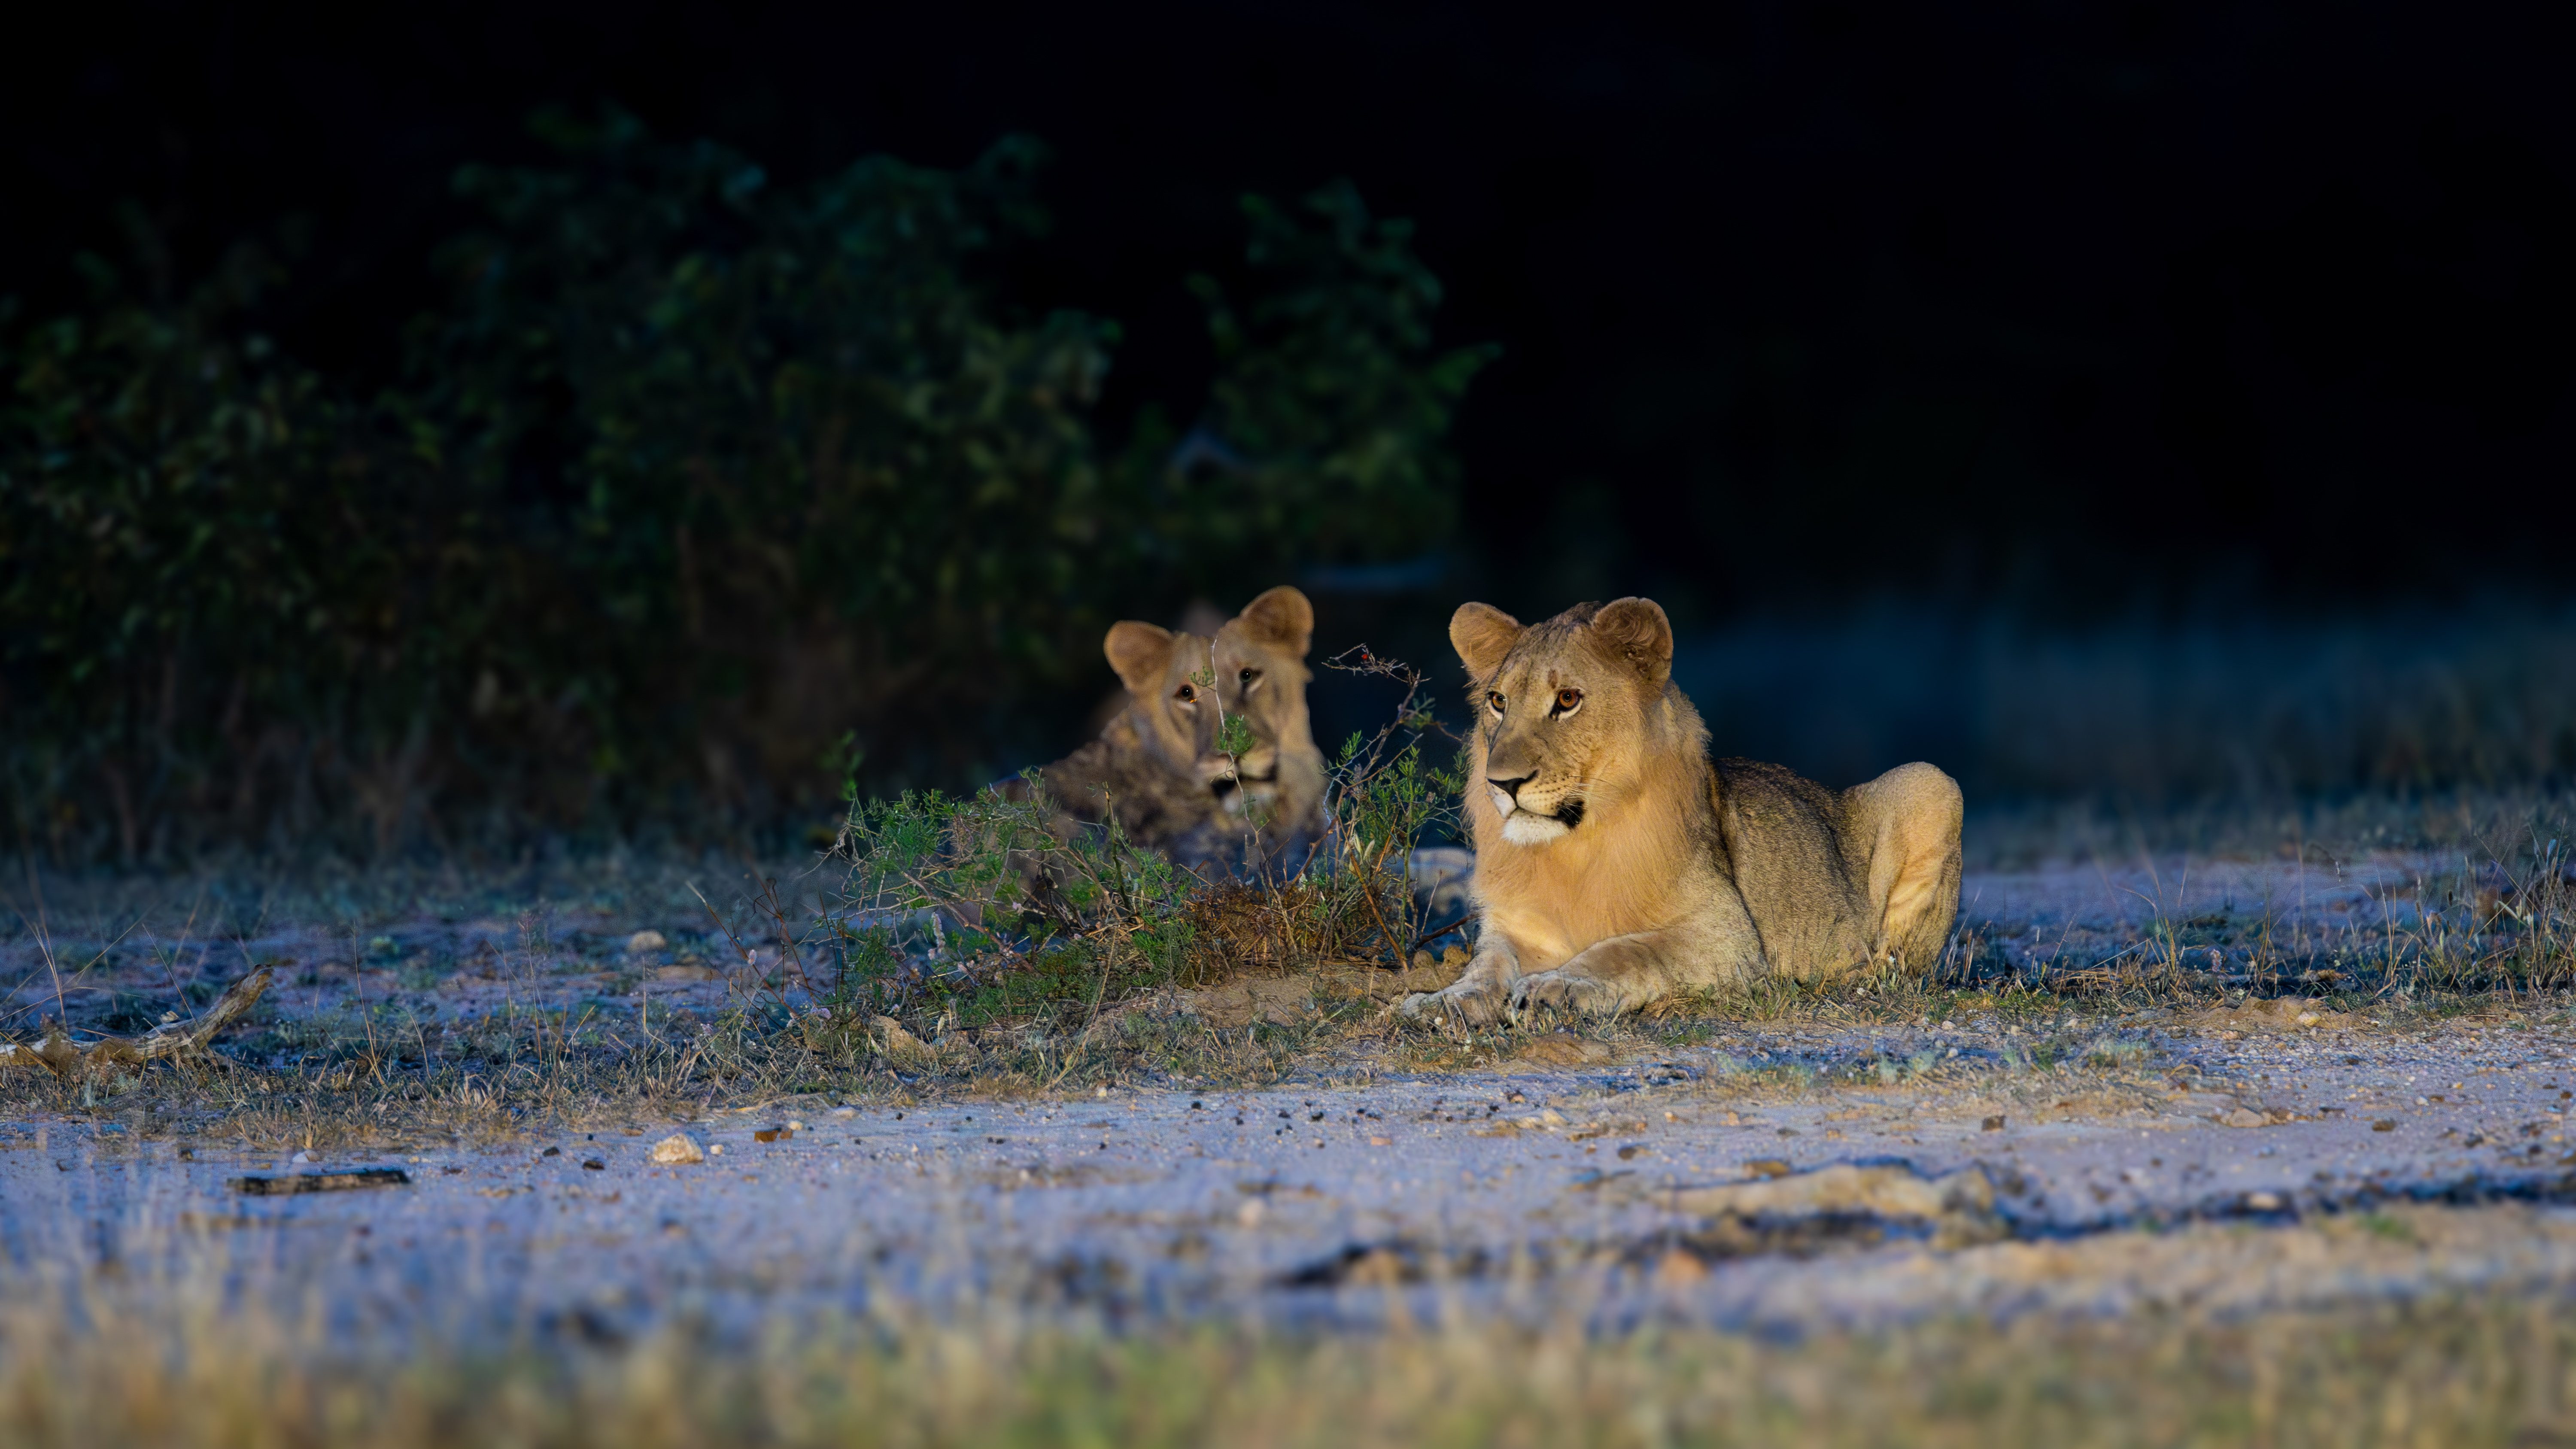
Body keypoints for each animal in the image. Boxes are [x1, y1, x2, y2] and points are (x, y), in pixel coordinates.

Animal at [1400, 597, 1962, 1023]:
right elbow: (1485, 970)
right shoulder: (1513, 929)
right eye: (1498, 701)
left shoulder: (1732, 941)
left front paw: (1556, 988)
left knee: (1898, 967)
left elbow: (1626, 949)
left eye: (1567, 699)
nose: (1503, 783)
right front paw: (1440, 1003)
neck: (1569, 849)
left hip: (1931, 780)